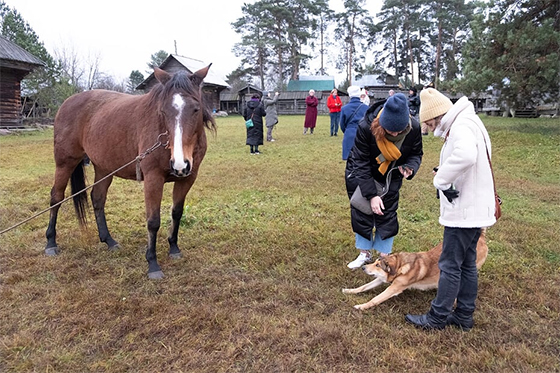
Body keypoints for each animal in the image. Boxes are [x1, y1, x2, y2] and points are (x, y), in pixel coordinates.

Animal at [45, 65, 217, 278]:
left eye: (196, 109)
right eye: (163, 111)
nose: (179, 163)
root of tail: (67, 103)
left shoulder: (188, 177)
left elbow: (176, 212)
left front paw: (174, 248)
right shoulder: (153, 178)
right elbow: (153, 221)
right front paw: (152, 263)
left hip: (104, 168)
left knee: (97, 199)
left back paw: (109, 241)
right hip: (65, 163)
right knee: (56, 197)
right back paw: (50, 243)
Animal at [342, 228, 486, 310]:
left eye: (378, 265)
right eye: (375, 262)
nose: (363, 267)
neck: (400, 266)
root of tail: (481, 237)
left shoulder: (394, 288)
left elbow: (375, 299)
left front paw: (361, 306)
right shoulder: (383, 279)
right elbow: (363, 287)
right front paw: (349, 291)